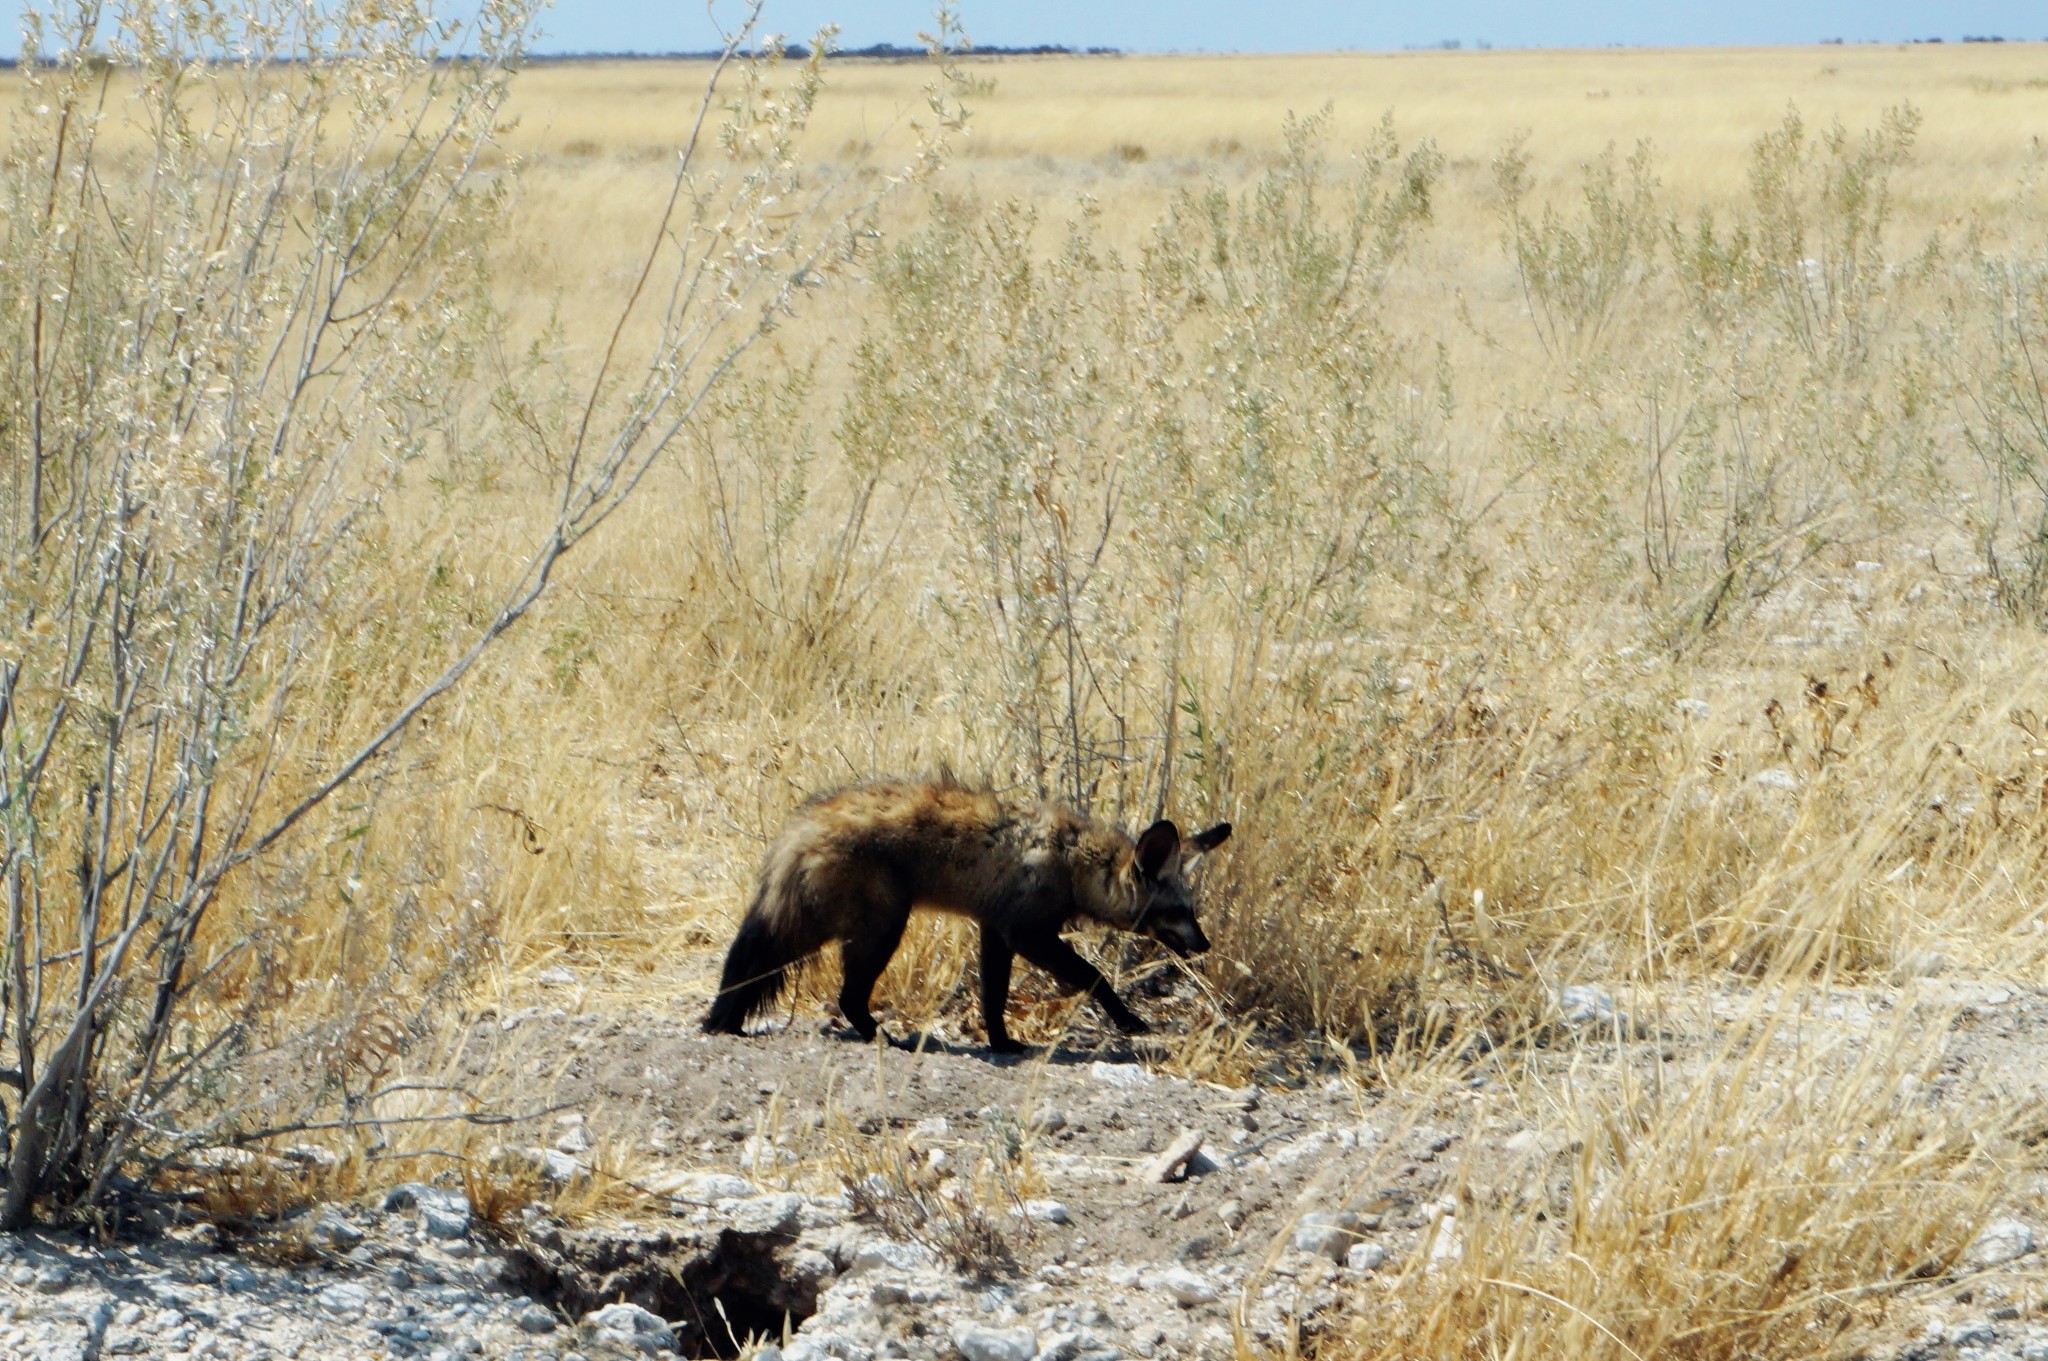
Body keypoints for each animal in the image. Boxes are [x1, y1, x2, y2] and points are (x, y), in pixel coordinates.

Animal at [704, 773, 1228, 1047]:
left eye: (1193, 909)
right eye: (1179, 910)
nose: (1205, 945)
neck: (1074, 859)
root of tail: (800, 827)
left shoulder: (995, 932)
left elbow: (993, 997)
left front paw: (1001, 1043)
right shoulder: (1028, 935)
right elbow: (1095, 976)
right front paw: (1127, 1020)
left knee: (760, 971)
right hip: (877, 929)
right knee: (847, 997)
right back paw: (881, 1036)